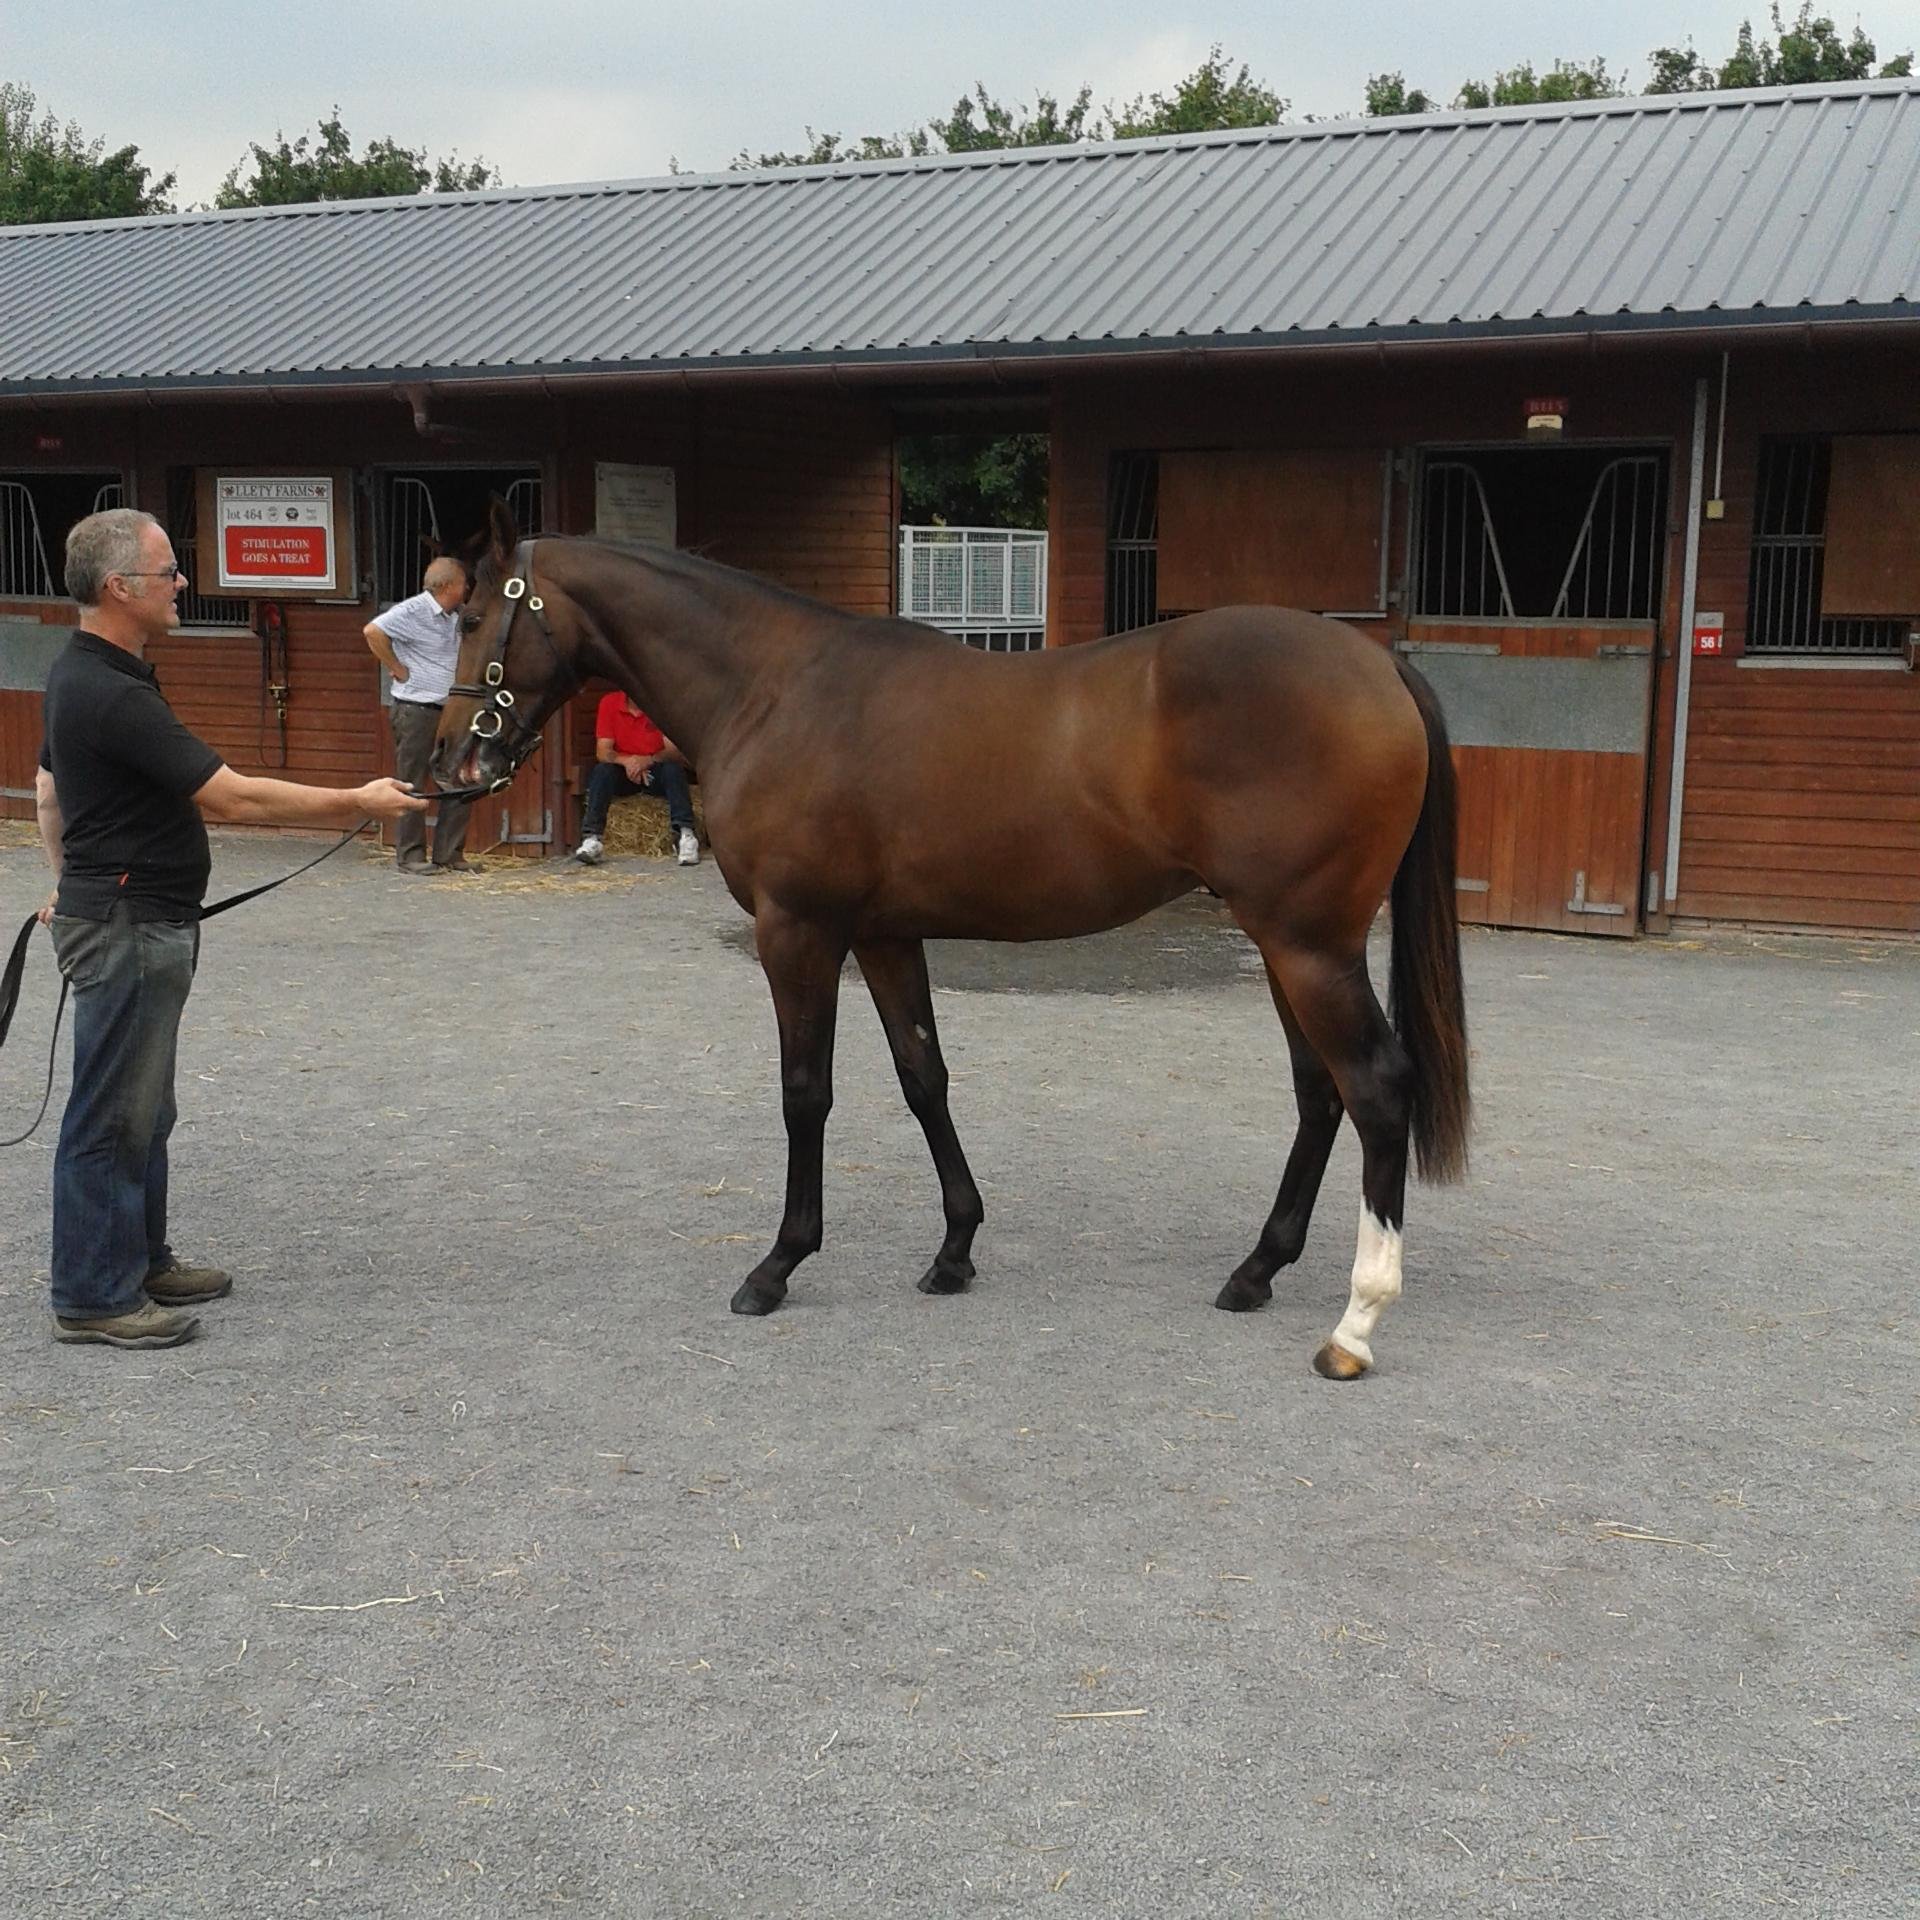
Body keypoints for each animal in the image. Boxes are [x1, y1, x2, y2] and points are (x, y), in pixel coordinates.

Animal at [435, 506, 1466, 1382]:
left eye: (476, 615)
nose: (453, 759)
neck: (775, 689)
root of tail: (1379, 669)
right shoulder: (886, 935)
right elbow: (922, 1077)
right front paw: (956, 1250)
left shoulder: (798, 931)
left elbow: (805, 1093)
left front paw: (778, 1265)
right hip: (1286, 944)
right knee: (1319, 1094)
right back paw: (1256, 1271)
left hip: (1309, 945)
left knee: (1376, 1089)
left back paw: (1354, 1326)